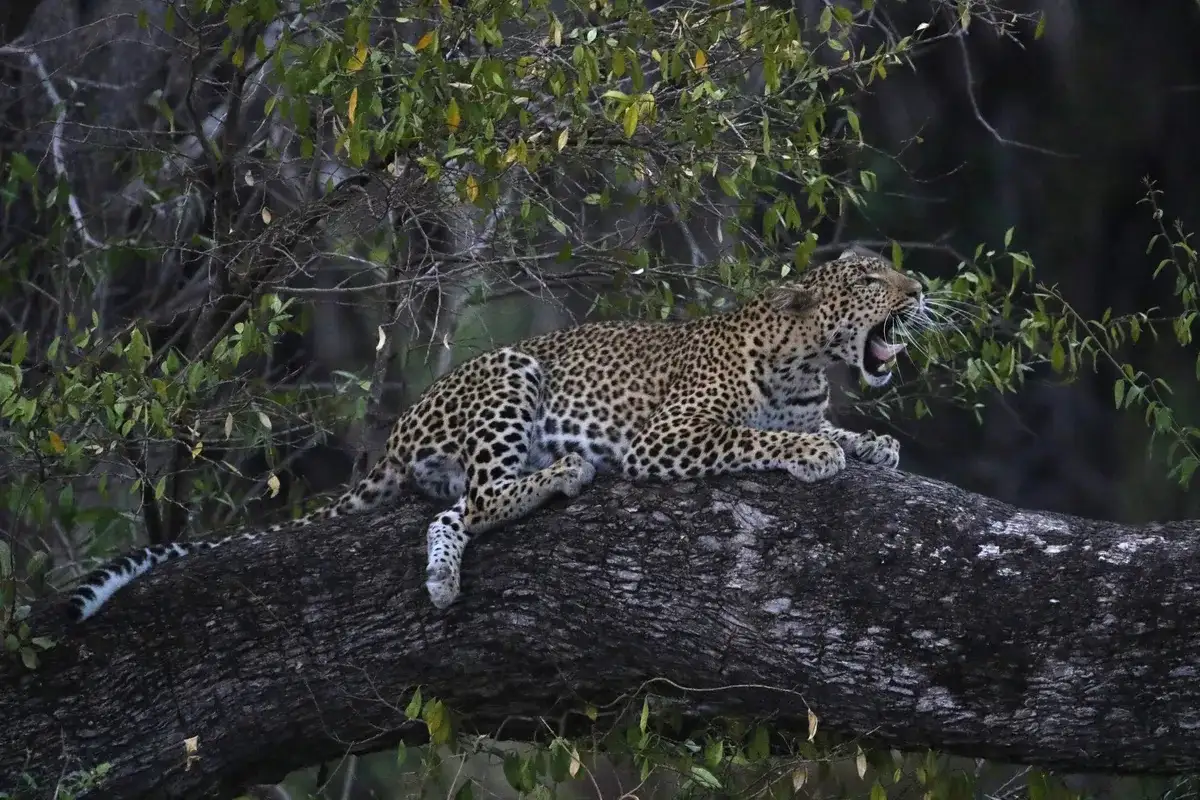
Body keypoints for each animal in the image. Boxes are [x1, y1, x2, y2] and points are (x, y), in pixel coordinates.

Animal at [65, 247, 926, 623]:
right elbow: (753, 437)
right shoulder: (667, 436)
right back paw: (566, 473)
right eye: (867, 279)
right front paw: (814, 454)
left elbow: (832, 429)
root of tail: (400, 430)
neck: (809, 363)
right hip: (512, 373)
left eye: (892, 271)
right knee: (480, 497)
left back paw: (445, 580)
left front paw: (873, 446)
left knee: (450, 514)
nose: (918, 290)